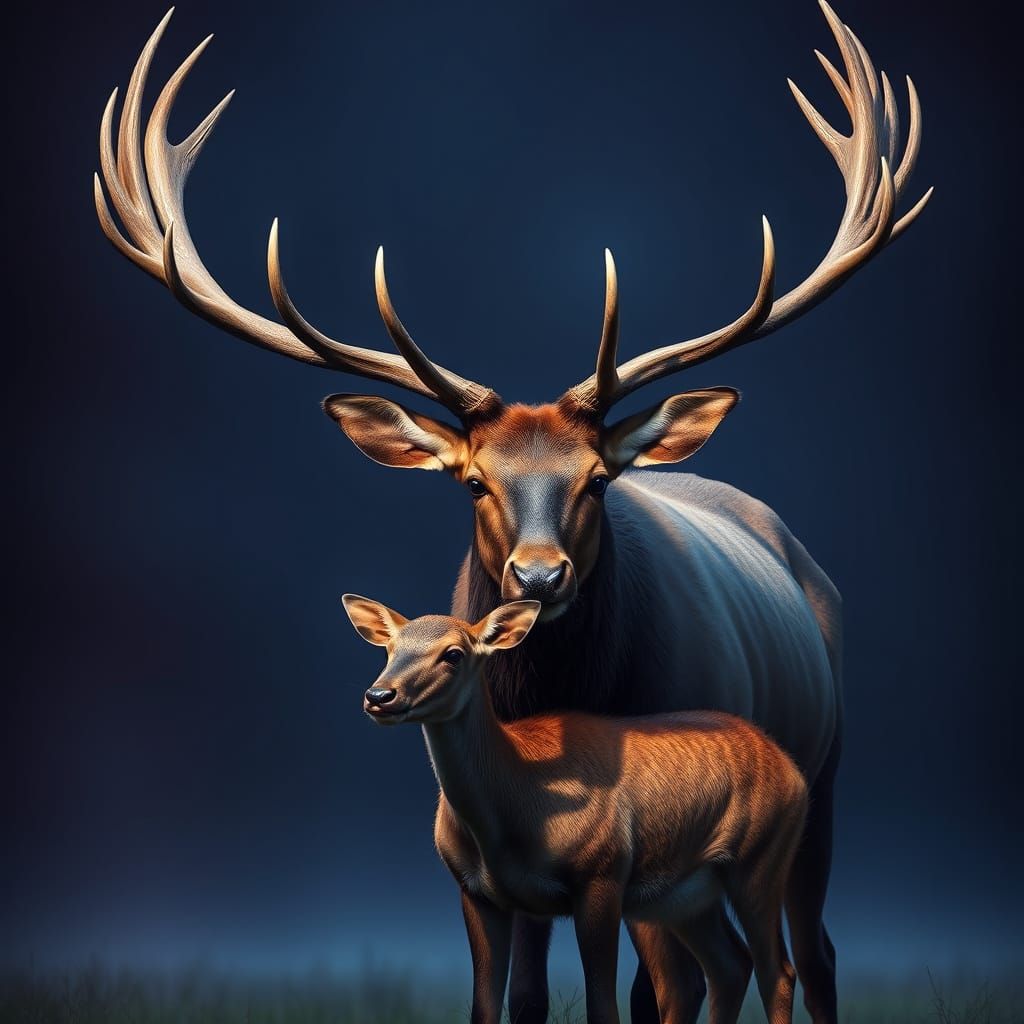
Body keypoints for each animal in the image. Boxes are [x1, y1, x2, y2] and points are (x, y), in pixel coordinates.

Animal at [342, 594, 809, 1024]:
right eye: (390, 647)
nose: (379, 696)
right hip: (683, 896)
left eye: (454, 654)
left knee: (776, 972)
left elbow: (602, 1007)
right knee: (724, 968)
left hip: (760, 859)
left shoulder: (600, 875)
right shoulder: (475, 891)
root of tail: (793, 771)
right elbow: (485, 1009)